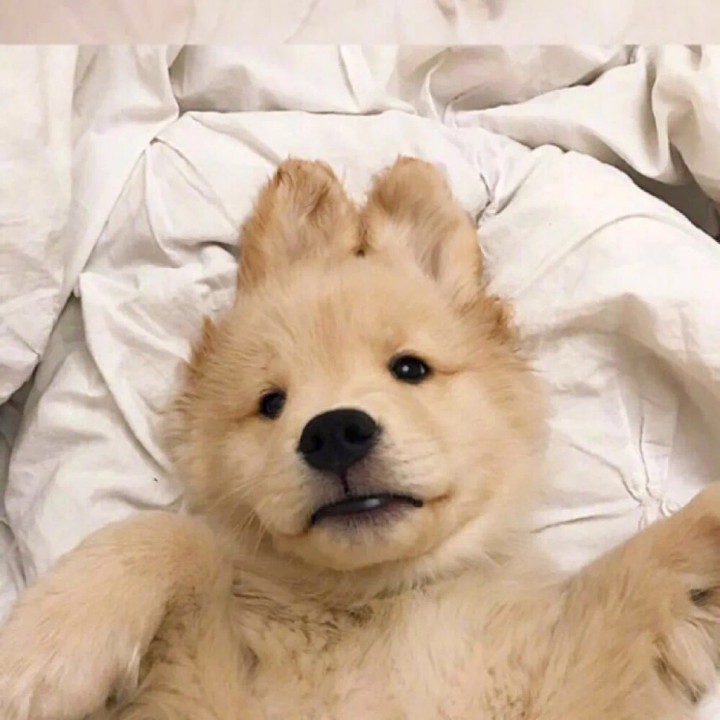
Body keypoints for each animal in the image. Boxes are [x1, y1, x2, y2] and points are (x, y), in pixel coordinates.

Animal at [1, 157, 720, 720]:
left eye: (410, 368)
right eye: (271, 403)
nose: (334, 434)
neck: (381, 604)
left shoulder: (568, 689)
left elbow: (627, 577)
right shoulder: (200, 697)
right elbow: (173, 535)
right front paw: (44, 644)